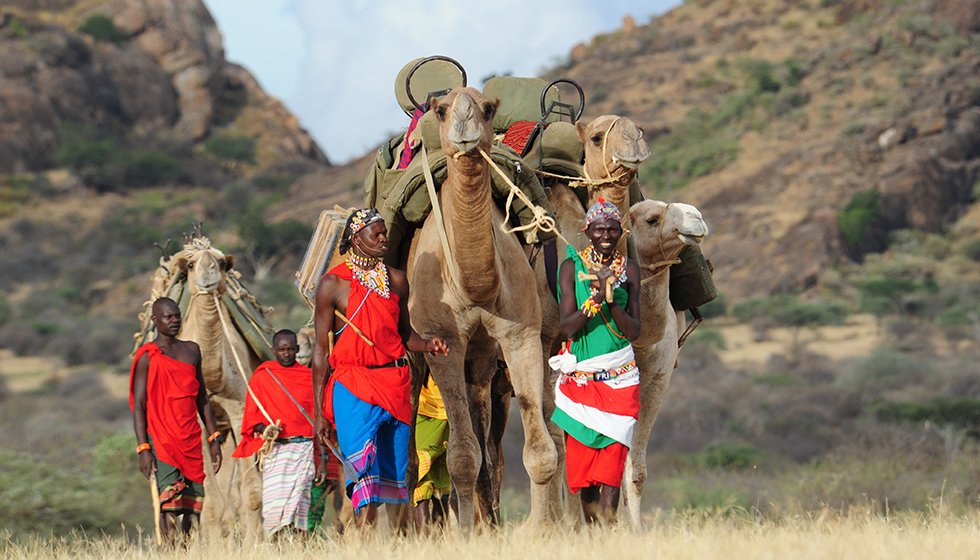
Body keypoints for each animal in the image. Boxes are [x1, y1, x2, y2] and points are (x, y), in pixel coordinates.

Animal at [406, 87, 557, 532]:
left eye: (488, 109)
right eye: (441, 109)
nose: (463, 128)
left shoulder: (521, 334)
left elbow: (539, 451)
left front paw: (540, 531)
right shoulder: (442, 342)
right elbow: (460, 457)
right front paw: (465, 536)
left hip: (483, 363)